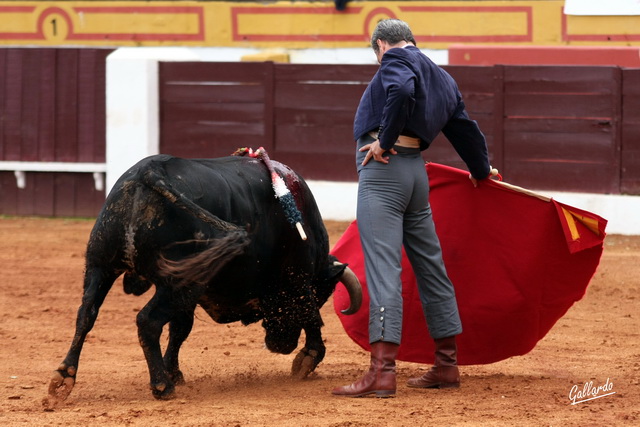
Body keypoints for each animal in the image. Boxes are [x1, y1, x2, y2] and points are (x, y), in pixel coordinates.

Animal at [47, 155, 362, 404]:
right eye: (323, 294)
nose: (281, 345)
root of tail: (150, 172)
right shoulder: (299, 277)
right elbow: (311, 315)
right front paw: (307, 359)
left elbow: (179, 329)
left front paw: (174, 371)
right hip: (178, 282)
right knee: (147, 321)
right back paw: (161, 386)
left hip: (100, 265)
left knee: (86, 314)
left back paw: (64, 378)